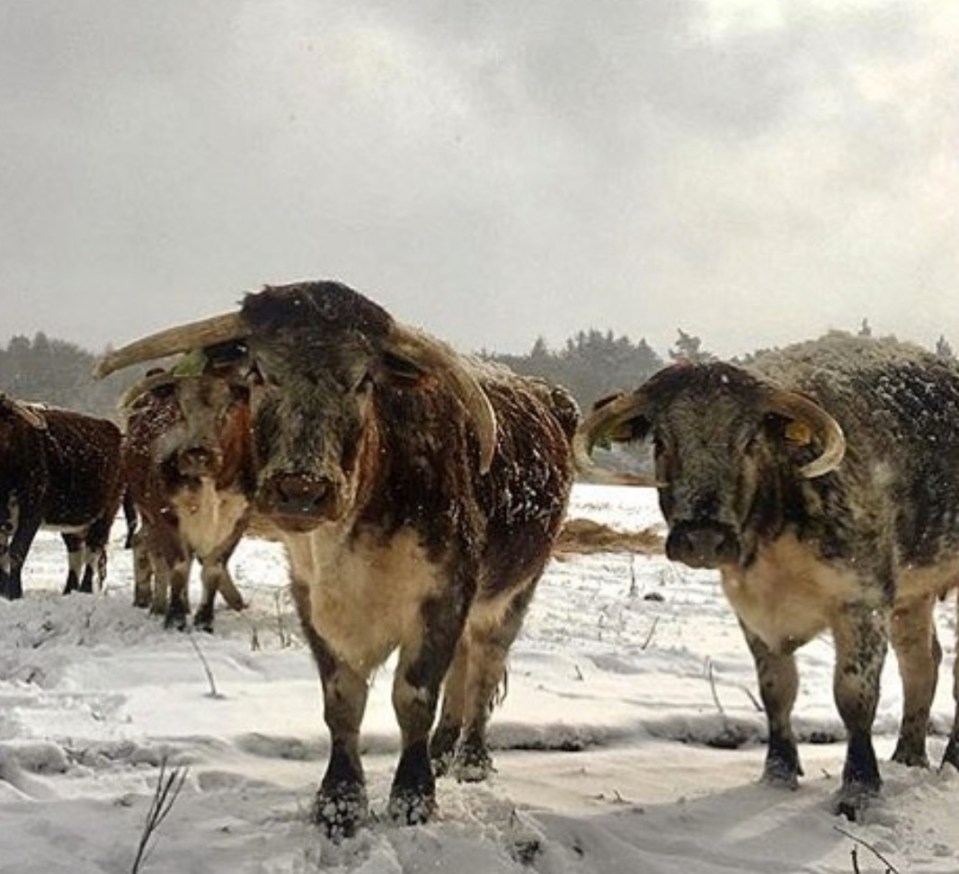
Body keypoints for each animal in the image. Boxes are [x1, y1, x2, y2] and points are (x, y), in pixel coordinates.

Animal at [0, 392, 124, 596]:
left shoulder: (32, 513)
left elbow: (17, 551)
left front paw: (13, 594)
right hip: (72, 520)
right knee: (77, 553)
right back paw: (70, 590)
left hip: (106, 513)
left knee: (93, 551)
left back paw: (85, 590)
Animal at [95, 282, 576, 836]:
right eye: (259, 372)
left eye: (364, 380)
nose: (302, 489)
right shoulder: (312, 597)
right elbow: (342, 703)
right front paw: (339, 801)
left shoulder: (444, 592)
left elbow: (414, 697)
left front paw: (413, 797)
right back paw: (443, 749)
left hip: (514, 591)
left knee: (484, 666)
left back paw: (471, 757)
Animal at [572, 332, 959, 816]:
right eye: (661, 441)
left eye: (749, 442)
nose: (703, 537)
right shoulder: (751, 611)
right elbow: (777, 690)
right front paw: (778, 771)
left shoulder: (862, 602)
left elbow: (854, 698)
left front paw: (859, 786)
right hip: (914, 594)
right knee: (922, 662)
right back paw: (909, 755)